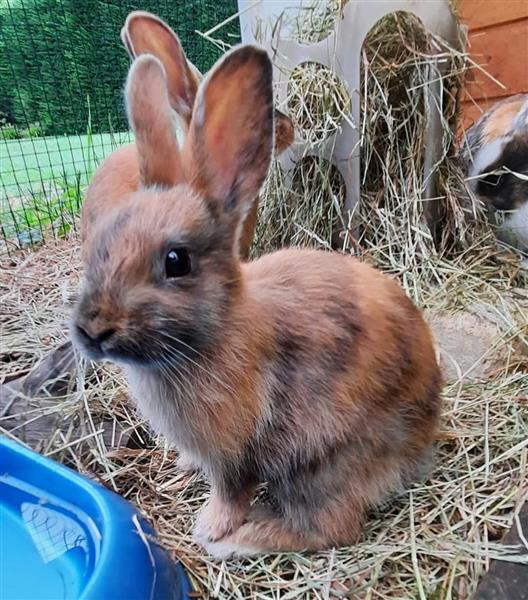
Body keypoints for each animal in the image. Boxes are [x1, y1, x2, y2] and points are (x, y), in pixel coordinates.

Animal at [70, 41, 442, 556]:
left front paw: (210, 527)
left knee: (333, 526)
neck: (215, 331)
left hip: (319, 461)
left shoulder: (235, 450)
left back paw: (242, 540)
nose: (91, 330)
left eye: (176, 261)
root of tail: (425, 433)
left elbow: (231, 489)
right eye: (100, 245)